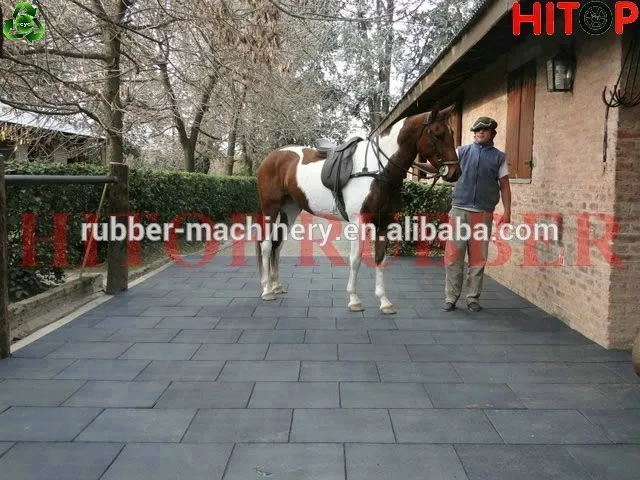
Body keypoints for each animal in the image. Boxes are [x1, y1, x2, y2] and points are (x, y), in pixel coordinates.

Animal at [254, 104, 461, 314]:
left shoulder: (384, 222)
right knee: (266, 245)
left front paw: (384, 301)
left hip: (290, 210)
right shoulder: (359, 221)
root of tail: (271, 157)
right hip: (270, 208)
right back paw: (266, 290)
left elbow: (380, 259)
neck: (378, 171)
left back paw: (276, 285)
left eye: (451, 133)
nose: (455, 172)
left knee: (277, 244)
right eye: (437, 134)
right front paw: (354, 300)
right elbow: (355, 259)